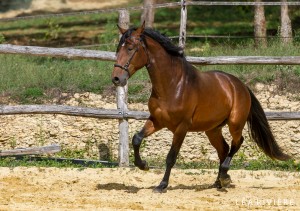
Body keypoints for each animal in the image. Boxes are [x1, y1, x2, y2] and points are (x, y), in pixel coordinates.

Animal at [111, 22, 290, 192]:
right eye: (118, 49)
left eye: (130, 48)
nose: (116, 79)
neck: (173, 85)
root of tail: (240, 85)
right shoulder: (157, 120)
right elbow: (136, 138)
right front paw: (143, 165)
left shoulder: (181, 127)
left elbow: (171, 157)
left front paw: (162, 185)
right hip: (212, 129)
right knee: (224, 149)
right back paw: (218, 182)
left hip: (235, 123)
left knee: (237, 143)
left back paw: (224, 176)